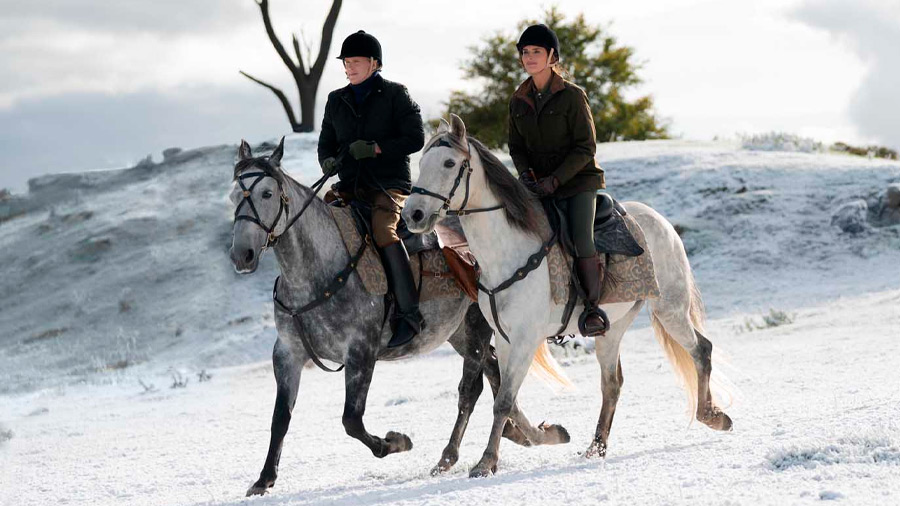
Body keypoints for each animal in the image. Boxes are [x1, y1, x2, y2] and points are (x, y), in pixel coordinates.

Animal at [230, 137, 568, 494]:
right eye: (234, 195)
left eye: (267, 194)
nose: (242, 255)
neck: (317, 271)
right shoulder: (287, 353)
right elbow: (280, 418)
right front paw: (264, 479)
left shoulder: (361, 352)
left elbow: (352, 420)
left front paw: (396, 442)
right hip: (458, 331)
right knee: (493, 374)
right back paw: (523, 434)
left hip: (477, 325)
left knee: (473, 387)